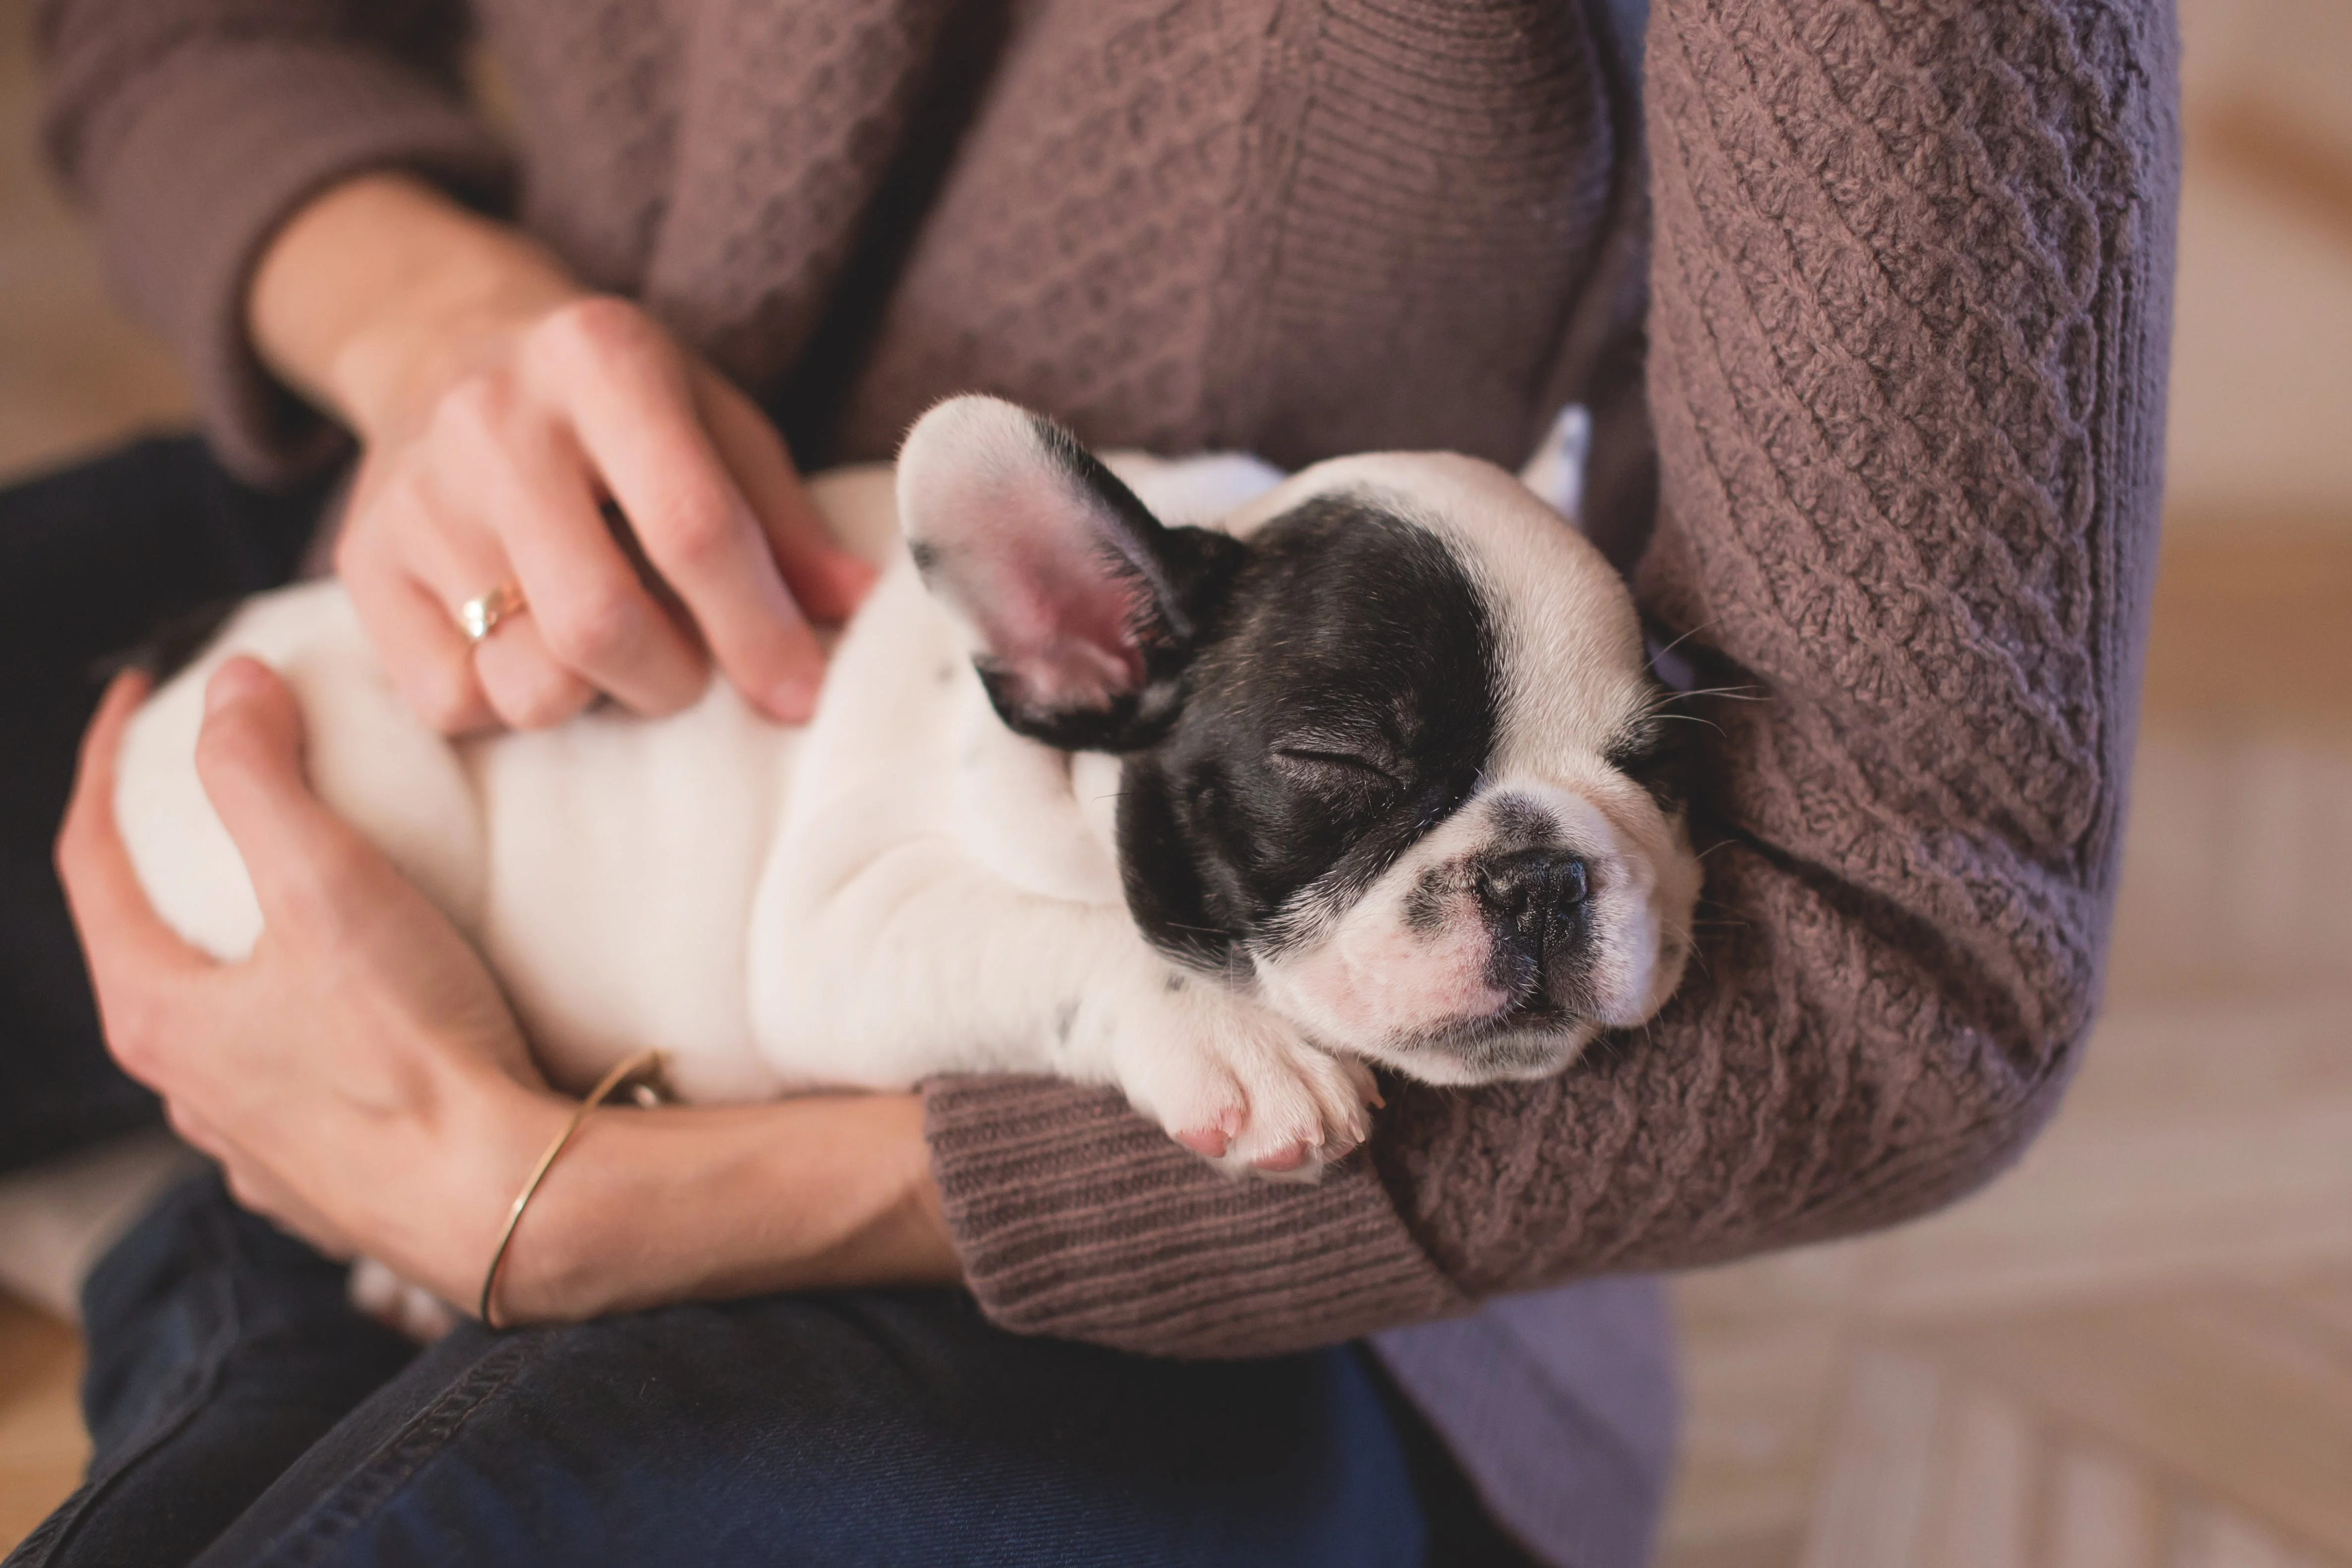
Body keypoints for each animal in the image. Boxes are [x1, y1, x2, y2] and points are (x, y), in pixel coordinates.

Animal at [111, 394, 1703, 1203]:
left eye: (1654, 765)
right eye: (1342, 763)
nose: (1545, 873)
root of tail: (185, 649)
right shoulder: (838, 925)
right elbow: (1069, 935)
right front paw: (1237, 1042)